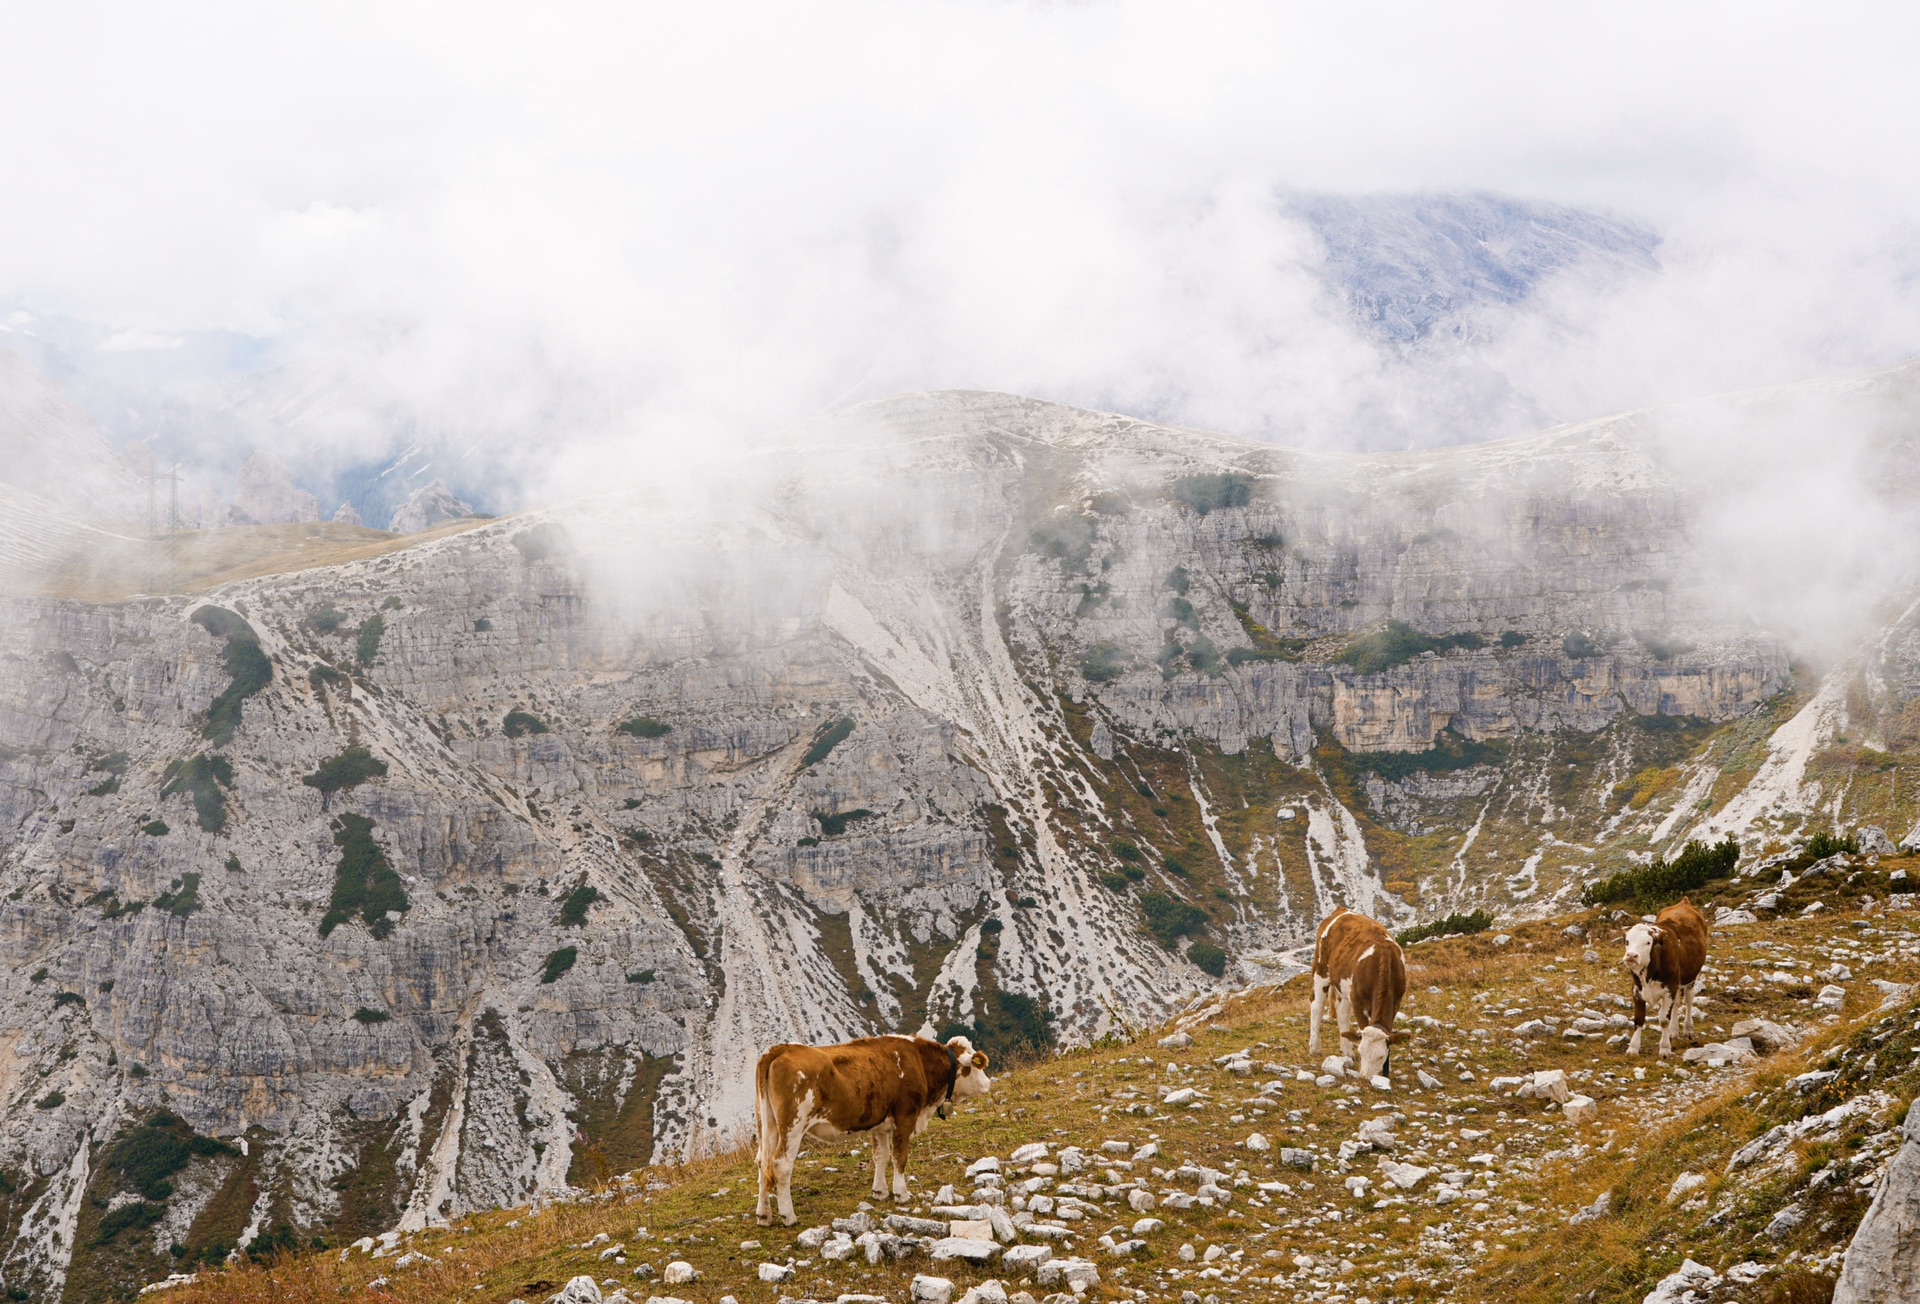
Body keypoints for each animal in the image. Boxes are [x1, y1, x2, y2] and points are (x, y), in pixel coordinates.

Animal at [748, 1037, 990, 1229]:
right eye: (976, 1066)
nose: (988, 1083)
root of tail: (780, 1049)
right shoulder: (905, 1116)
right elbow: (900, 1157)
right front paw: (901, 1194)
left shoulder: (880, 1124)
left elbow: (880, 1156)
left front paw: (880, 1191)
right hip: (793, 1125)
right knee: (781, 1164)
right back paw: (788, 1216)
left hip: (767, 1124)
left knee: (762, 1161)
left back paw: (764, 1215)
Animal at [1305, 906, 1413, 1083]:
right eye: (1361, 1051)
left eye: (1381, 1056)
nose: (1365, 1078)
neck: (1383, 961)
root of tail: (1340, 910)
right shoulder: (1357, 1001)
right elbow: (1362, 1026)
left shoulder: (1396, 1001)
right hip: (1321, 968)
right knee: (1317, 1005)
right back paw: (1315, 1048)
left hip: (1343, 985)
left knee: (1342, 1013)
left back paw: (1347, 1051)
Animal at [1620, 898, 1712, 1060]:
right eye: (1627, 941)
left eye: (1648, 942)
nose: (1631, 956)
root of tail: (1684, 902)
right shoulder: (1637, 989)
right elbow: (1638, 1019)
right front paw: (1633, 1048)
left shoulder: (1669, 988)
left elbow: (1663, 1019)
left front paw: (1664, 1049)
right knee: (1676, 1005)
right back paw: (1673, 1032)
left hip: (1690, 978)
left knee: (1688, 1000)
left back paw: (1688, 1030)